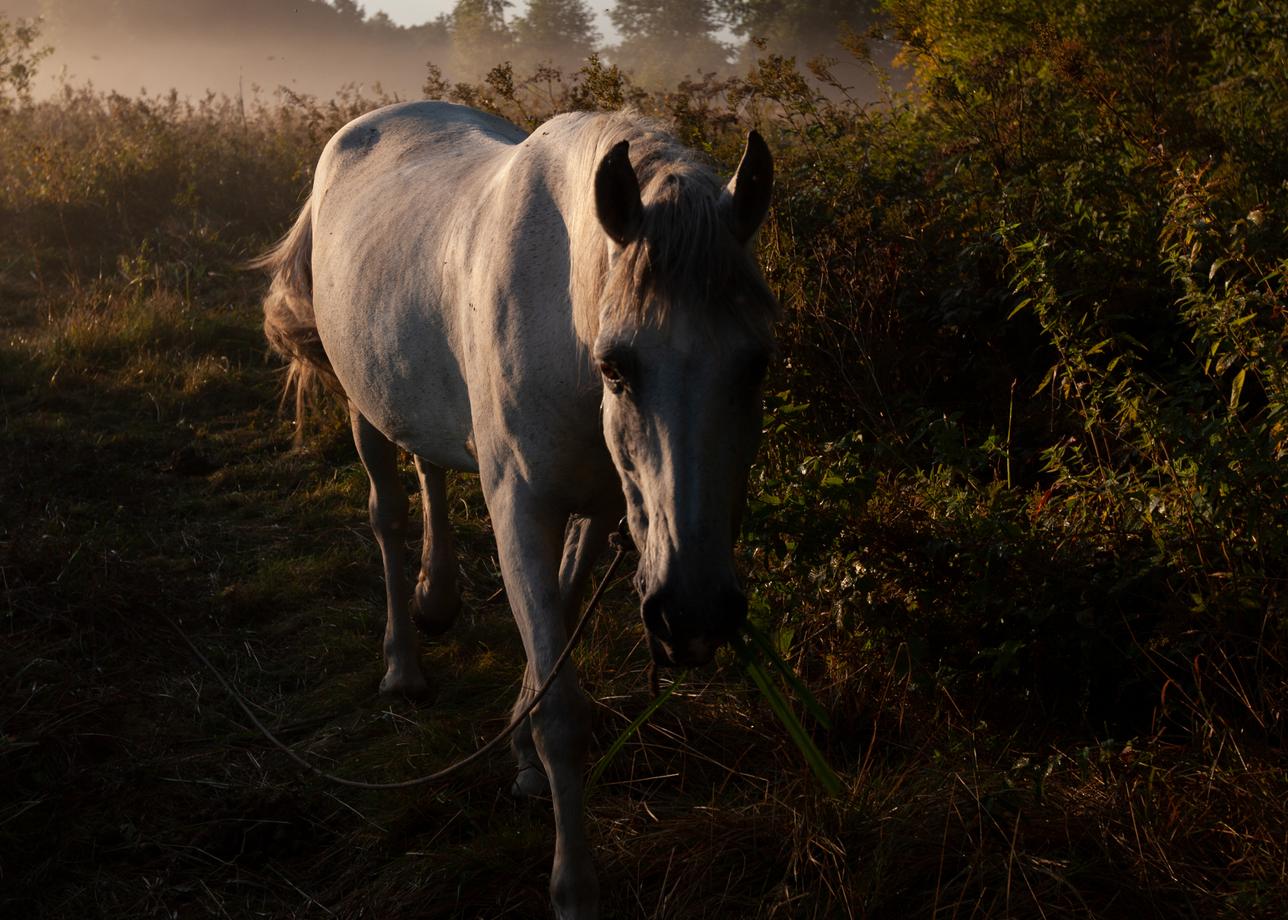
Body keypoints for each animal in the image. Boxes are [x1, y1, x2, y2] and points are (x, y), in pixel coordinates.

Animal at [256, 101, 776, 919]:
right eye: (617, 366)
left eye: (756, 364)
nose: (695, 615)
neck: (561, 308)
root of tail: (362, 127)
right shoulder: (523, 510)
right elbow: (564, 709)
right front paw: (574, 886)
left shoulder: (602, 509)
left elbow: (554, 619)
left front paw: (520, 748)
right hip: (363, 411)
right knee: (388, 518)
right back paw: (403, 663)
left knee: (431, 467)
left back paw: (438, 599)